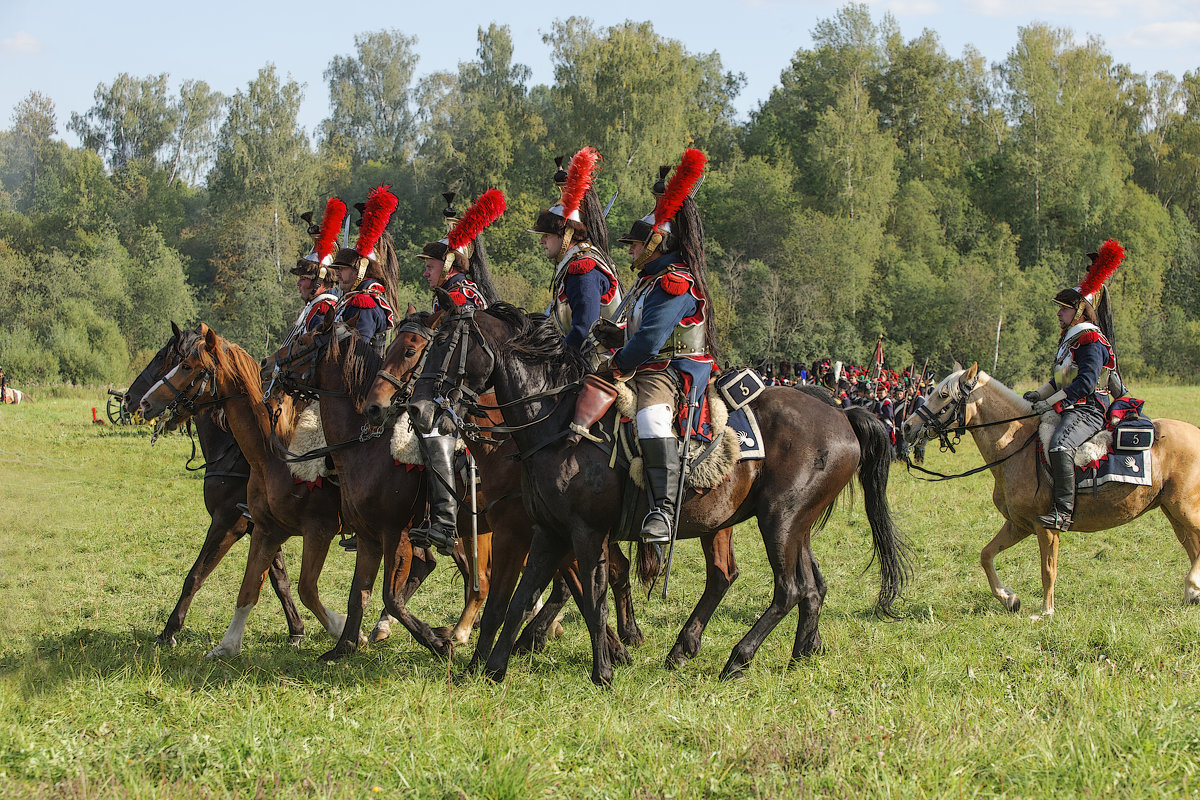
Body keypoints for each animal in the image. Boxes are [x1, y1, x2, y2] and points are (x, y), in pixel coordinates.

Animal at [138, 323, 350, 657]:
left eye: (181, 363)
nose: (141, 402)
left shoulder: (232, 523)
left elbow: (197, 575)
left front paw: (169, 631)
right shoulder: (265, 528)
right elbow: (267, 581)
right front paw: (290, 631)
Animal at [412, 303, 907, 686]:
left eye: (445, 345)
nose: (417, 410)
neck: (558, 423)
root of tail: (842, 413)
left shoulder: (586, 533)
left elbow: (593, 598)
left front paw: (603, 671)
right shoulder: (549, 532)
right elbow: (520, 597)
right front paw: (492, 668)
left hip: (780, 521)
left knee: (789, 589)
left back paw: (737, 658)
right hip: (785, 526)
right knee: (793, 585)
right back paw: (781, 651)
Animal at [902, 362, 1200, 618]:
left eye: (942, 395)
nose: (907, 426)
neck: (1017, 445)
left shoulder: (1046, 527)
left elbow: (1048, 570)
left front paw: (1046, 611)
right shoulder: (1019, 524)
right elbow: (986, 555)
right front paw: (1009, 598)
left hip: (1184, 509)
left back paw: (1192, 584)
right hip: (1173, 513)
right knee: (1194, 548)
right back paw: (1192, 593)